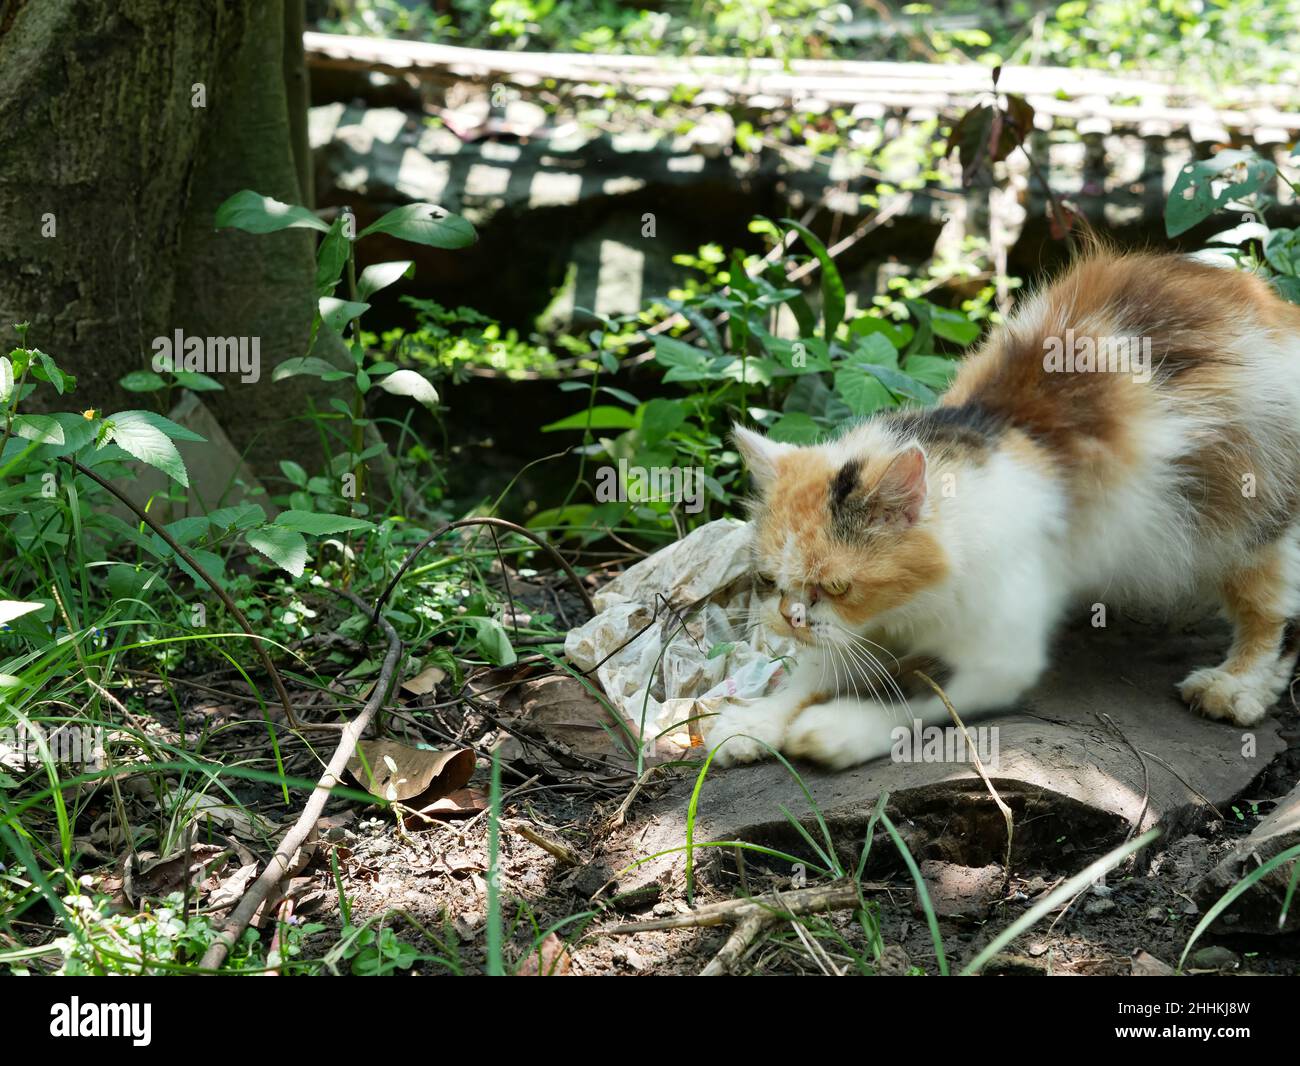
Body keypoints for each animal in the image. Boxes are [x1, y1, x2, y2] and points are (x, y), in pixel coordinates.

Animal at [707, 248, 1300, 764]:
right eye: (768, 582)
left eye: (836, 586)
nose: (790, 618)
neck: (905, 610)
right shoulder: (861, 636)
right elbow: (811, 675)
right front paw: (749, 722)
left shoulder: (999, 659)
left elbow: (921, 697)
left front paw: (839, 728)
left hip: (1252, 517)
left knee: (1271, 615)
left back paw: (1234, 686)